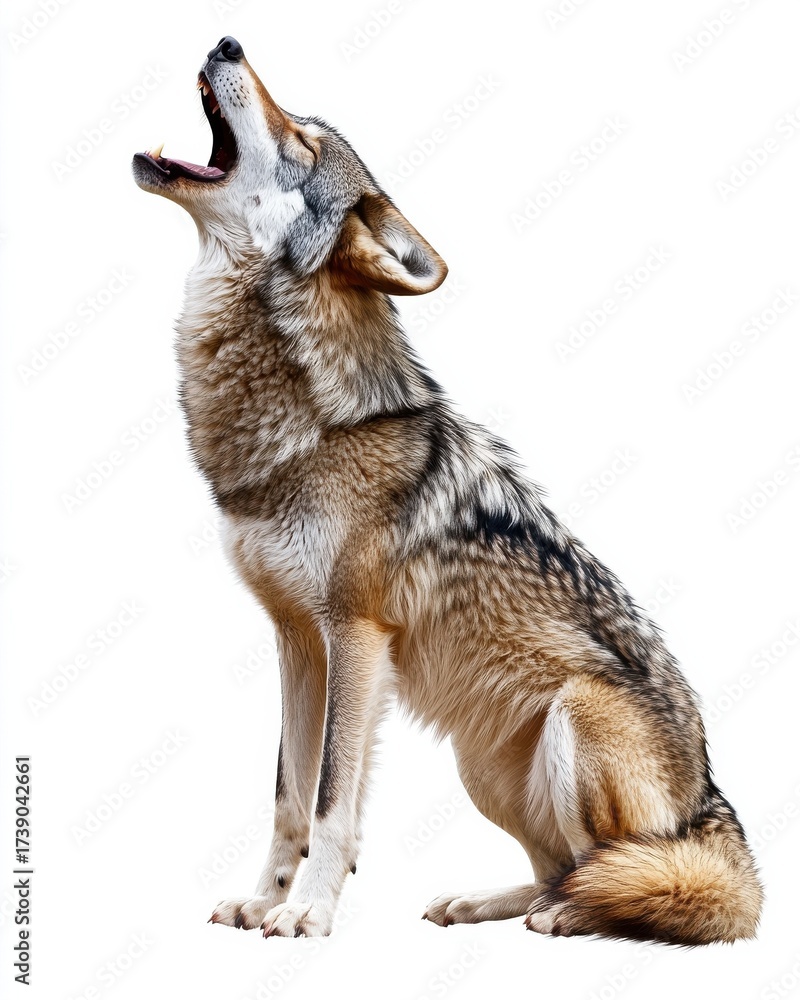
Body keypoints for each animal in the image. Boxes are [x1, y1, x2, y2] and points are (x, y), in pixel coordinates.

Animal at [132, 36, 763, 943]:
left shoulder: (355, 635)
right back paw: (485, 903)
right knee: (559, 869)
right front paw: (264, 898)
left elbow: (331, 799)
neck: (308, 428)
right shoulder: (296, 640)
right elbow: (288, 794)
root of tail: (715, 802)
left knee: (628, 876)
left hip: (576, 717)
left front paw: (309, 911)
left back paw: (570, 918)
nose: (227, 43)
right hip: (480, 765)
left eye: (303, 144)